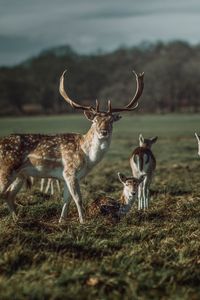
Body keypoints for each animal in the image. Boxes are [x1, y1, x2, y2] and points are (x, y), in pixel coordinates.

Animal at [0, 68, 144, 223]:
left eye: (111, 121)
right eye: (95, 120)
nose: (103, 132)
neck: (87, 157)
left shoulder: (66, 176)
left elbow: (66, 200)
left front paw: (61, 221)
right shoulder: (70, 171)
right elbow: (78, 199)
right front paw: (83, 221)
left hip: (20, 175)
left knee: (9, 194)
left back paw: (17, 220)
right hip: (6, 168)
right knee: (4, 193)